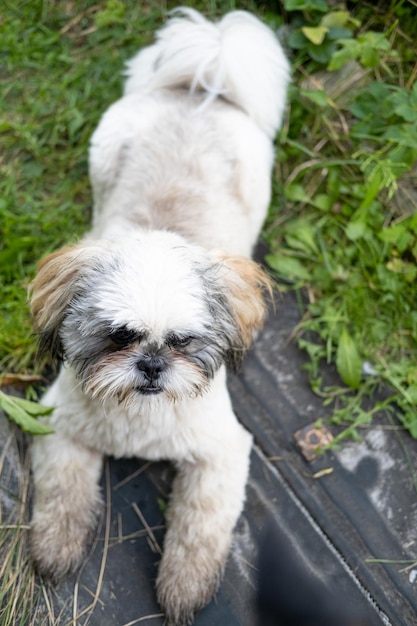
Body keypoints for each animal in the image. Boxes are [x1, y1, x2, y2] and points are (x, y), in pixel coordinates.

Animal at [30, 7, 290, 620]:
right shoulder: (59, 429)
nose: (150, 365)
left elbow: (199, 529)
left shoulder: (222, 455)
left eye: (182, 341)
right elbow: (62, 495)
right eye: (118, 337)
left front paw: (185, 586)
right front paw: (56, 547)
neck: (140, 417)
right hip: (103, 152)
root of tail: (201, 86)